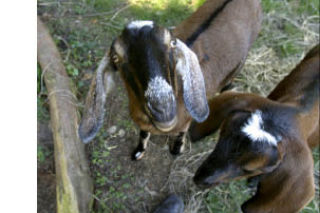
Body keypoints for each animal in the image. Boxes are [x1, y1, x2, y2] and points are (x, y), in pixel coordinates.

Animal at [78, 0, 262, 160]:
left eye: (172, 44)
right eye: (115, 57)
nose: (163, 109)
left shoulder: (186, 121)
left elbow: (180, 135)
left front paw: (176, 150)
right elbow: (143, 134)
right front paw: (139, 151)